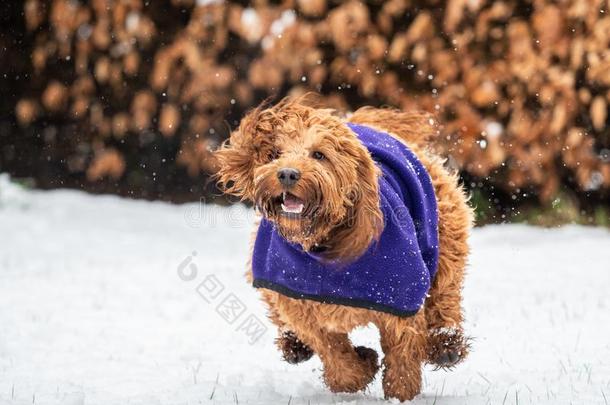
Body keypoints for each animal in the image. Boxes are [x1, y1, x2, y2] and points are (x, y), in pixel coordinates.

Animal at [214, 97, 470, 400]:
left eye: (319, 155)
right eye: (275, 154)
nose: (287, 173)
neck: (322, 243)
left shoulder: (400, 297)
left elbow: (402, 349)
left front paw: (401, 392)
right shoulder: (300, 305)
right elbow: (332, 351)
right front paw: (361, 368)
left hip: (445, 235)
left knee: (445, 292)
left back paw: (445, 344)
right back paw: (294, 345)